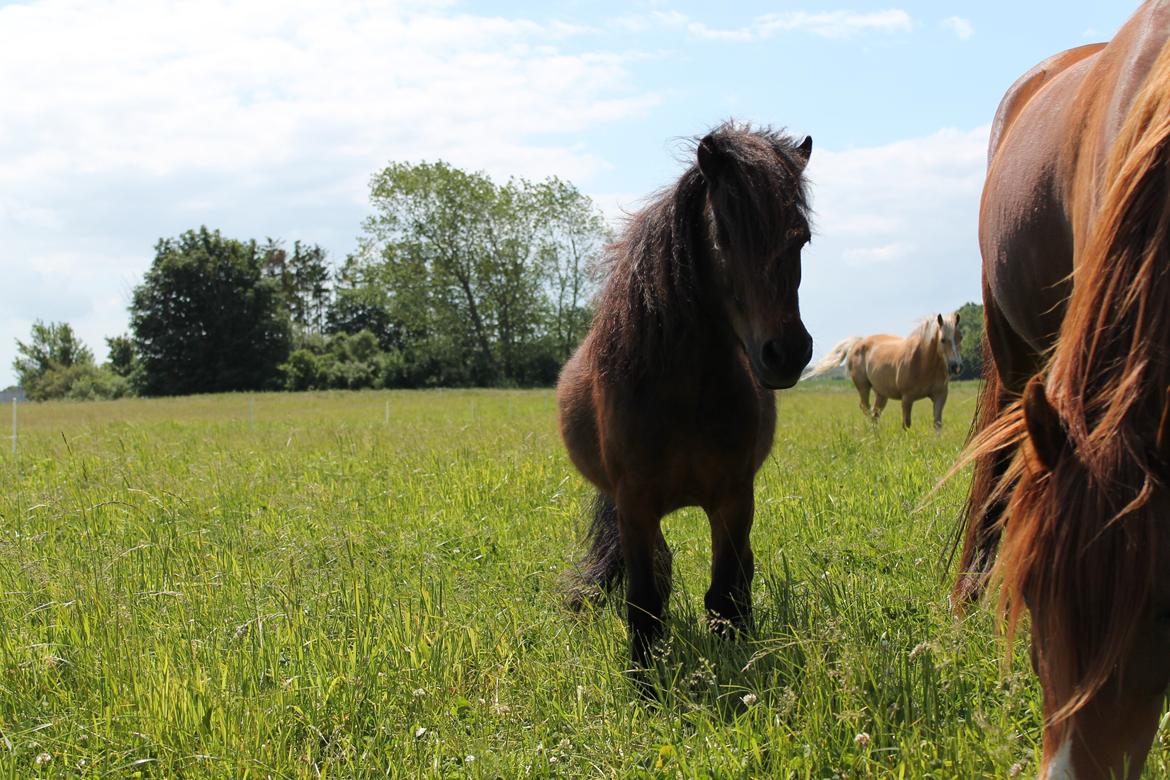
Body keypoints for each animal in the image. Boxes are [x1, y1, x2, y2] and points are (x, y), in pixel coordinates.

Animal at [556, 122, 814, 671]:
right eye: (725, 235)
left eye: (801, 238)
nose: (787, 354)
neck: (684, 396)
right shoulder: (634, 504)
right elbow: (645, 601)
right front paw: (645, 681)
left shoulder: (734, 500)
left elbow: (726, 593)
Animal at [802, 313, 963, 430]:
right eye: (943, 339)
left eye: (960, 338)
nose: (956, 366)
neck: (924, 364)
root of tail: (858, 342)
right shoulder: (907, 398)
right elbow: (906, 424)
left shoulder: (940, 397)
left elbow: (937, 424)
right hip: (863, 387)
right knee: (866, 409)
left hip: (881, 393)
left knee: (875, 412)